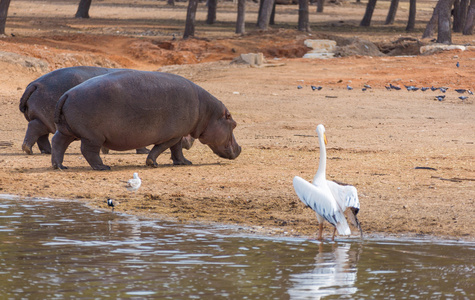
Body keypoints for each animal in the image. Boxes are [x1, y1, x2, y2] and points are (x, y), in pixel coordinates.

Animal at [52, 69, 242, 170]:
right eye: (234, 124)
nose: (240, 149)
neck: (207, 112)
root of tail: (67, 94)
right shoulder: (173, 134)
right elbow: (162, 148)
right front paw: (152, 163)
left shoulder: (178, 133)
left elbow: (176, 150)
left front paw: (184, 162)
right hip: (92, 137)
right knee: (88, 151)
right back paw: (103, 167)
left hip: (67, 130)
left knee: (58, 143)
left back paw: (59, 166)